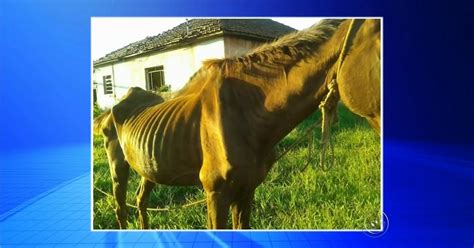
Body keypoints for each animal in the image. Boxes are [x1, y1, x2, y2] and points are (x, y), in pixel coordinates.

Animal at [93, 18, 382, 230]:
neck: (247, 115)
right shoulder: (216, 194)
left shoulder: (247, 190)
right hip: (118, 168)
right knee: (121, 208)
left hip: (148, 168)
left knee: (140, 201)